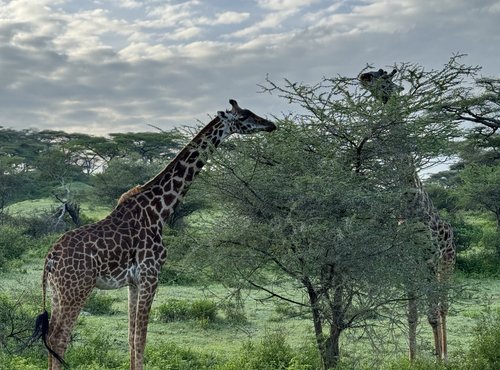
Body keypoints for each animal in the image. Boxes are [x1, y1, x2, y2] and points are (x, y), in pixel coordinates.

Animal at [32, 99, 276, 368]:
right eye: (244, 116)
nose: (270, 125)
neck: (160, 209)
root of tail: (50, 259)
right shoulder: (152, 274)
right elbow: (141, 339)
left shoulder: (133, 282)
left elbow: (131, 338)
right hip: (77, 289)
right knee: (59, 338)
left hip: (58, 291)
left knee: (50, 337)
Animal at [360, 68, 458, 360]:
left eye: (383, 77)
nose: (363, 76)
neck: (410, 199)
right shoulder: (406, 259)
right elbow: (412, 315)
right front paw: (413, 360)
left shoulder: (429, 258)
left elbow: (432, 315)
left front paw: (438, 360)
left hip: (448, 262)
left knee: (443, 307)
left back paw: (445, 354)